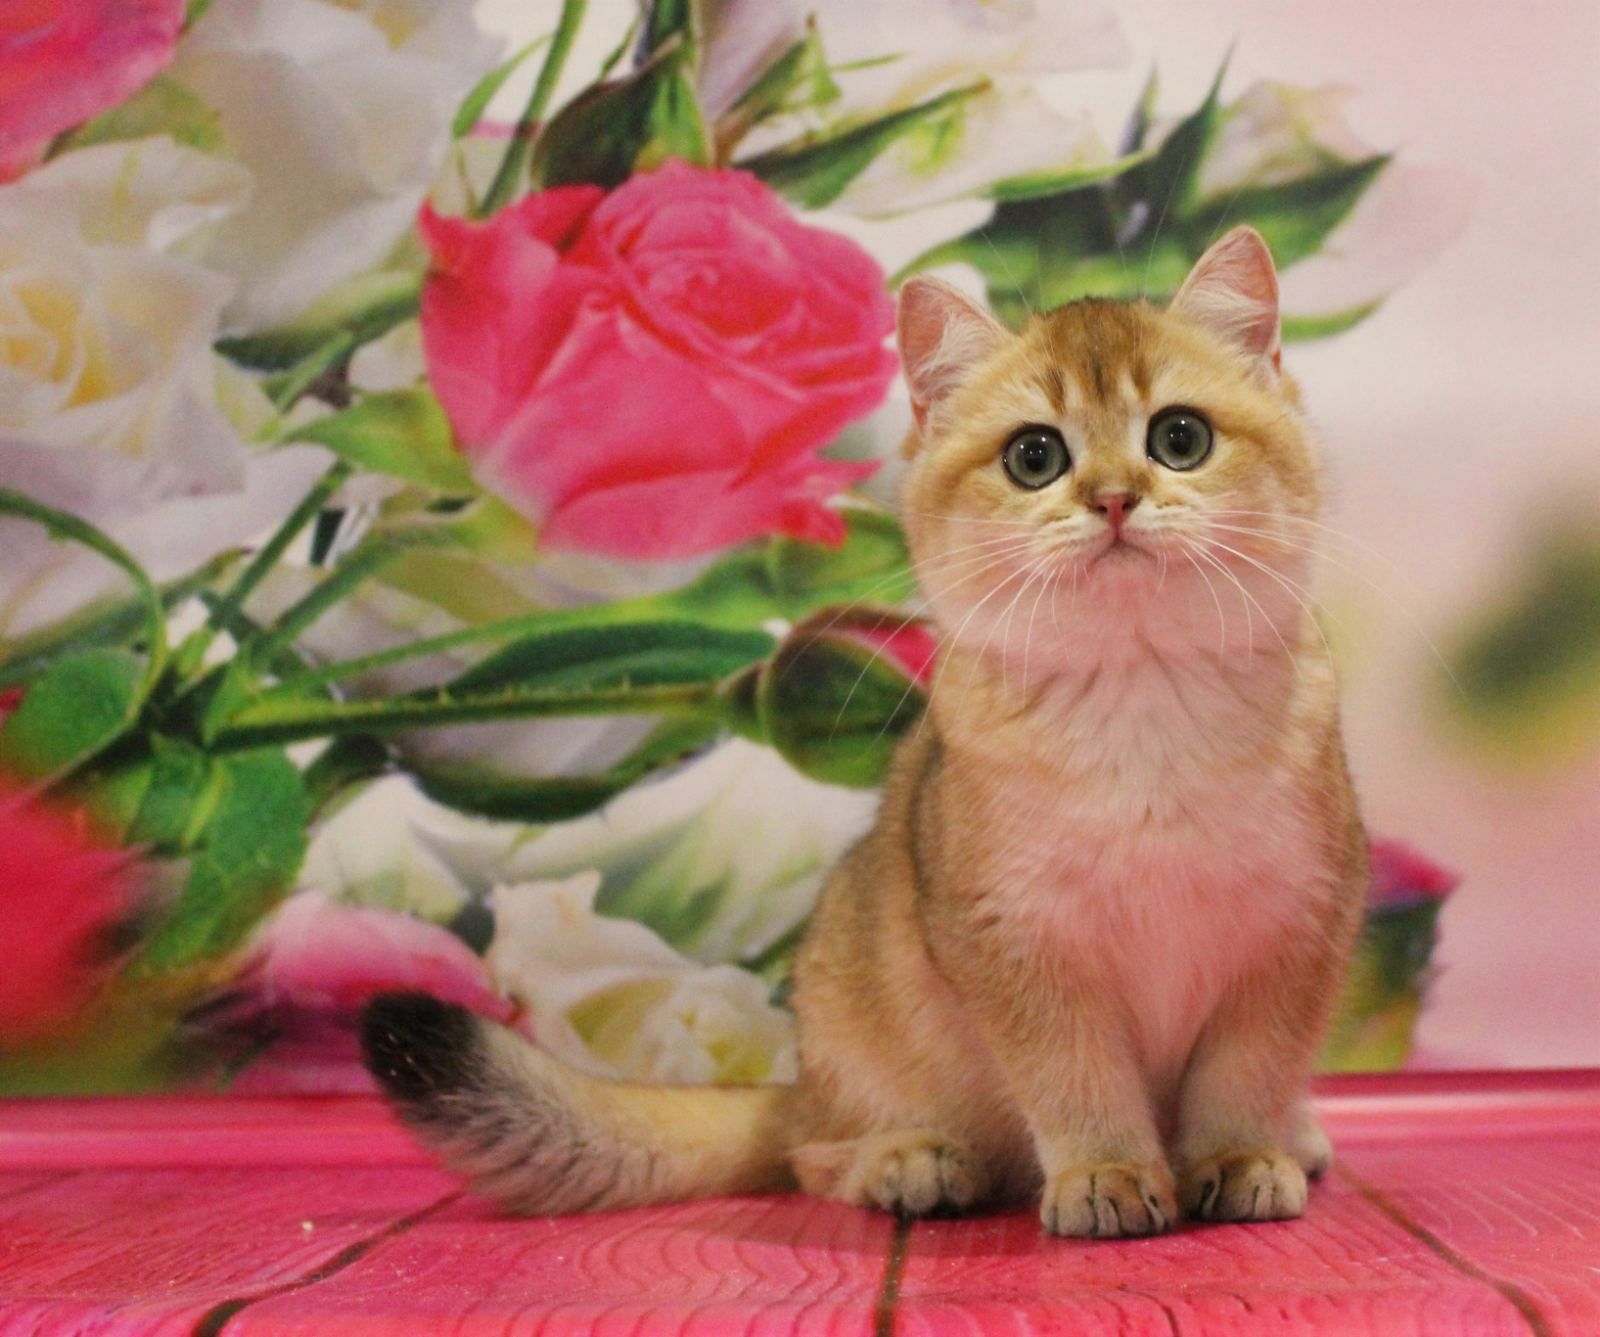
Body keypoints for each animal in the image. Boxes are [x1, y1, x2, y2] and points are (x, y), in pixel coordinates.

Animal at [361, 226, 1368, 1237]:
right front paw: (1107, 1172)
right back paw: (910, 1159)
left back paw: (1298, 1136)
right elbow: (1075, 1078)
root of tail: (800, 1084)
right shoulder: (1014, 945)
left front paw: (1240, 1156)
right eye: (1034, 456)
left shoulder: (1297, 928)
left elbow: (1245, 1075)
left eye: (1181, 438)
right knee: (813, 1155)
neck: (1140, 699)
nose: (1115, 498)